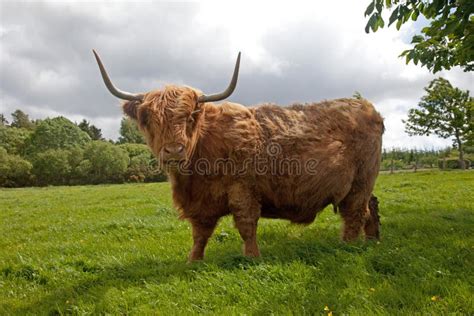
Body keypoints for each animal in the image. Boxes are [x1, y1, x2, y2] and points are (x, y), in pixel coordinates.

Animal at [93, 50, 386, 262]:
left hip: (359, 181)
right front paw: (193, 260)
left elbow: (246, 225)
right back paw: (372, 241)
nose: (174, 150)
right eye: (146, 118)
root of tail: (368, 108)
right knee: (370, 207)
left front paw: (252, 258)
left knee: (355, 213)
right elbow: (200, 233)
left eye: (190, 116)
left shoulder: (243, 190)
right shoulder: (201, 203)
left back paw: (347, 246)